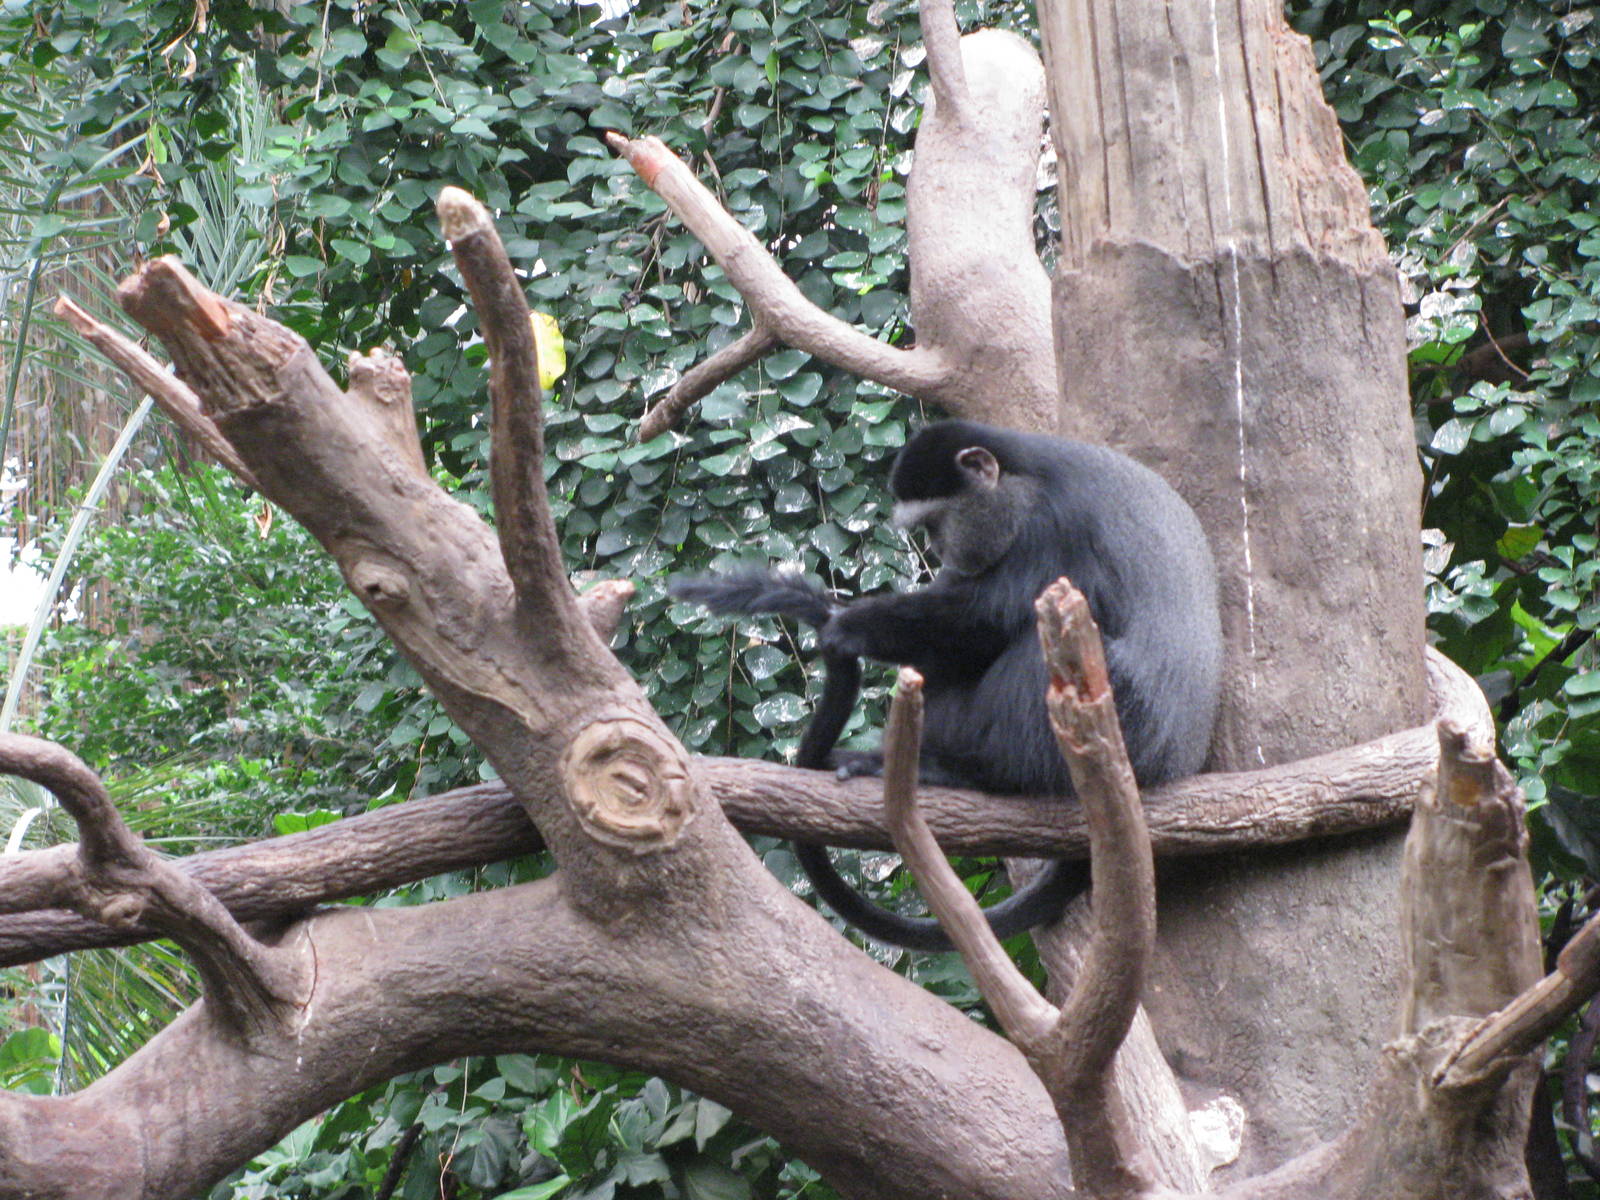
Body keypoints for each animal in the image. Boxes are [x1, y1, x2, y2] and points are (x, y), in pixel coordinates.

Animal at [670, 419, 1223, 951]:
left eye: (936, 522)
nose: (937, 550)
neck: (1024, 474)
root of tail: (1171, 765)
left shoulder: (1054, 525)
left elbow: (988, 615)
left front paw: (847, 627)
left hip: (1127, 725)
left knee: (1033, 652)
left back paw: (966, 772)